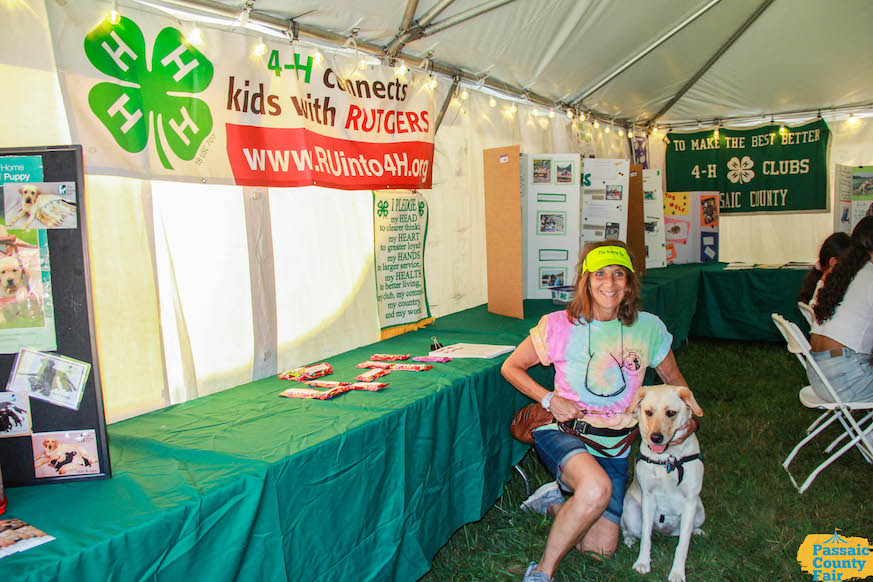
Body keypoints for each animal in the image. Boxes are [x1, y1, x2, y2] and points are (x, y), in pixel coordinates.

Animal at [620, 388, 700, 582]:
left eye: (671, 413)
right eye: (649, 412)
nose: (656, 438)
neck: (668, 459)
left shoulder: (691, 501)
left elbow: (682, 545)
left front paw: (677, 572)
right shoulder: (649, 497)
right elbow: (646, 538)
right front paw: (642, 563)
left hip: (700, 512)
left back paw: (697, 531)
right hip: (631, 512)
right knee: (629, 529)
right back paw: (629, 539)